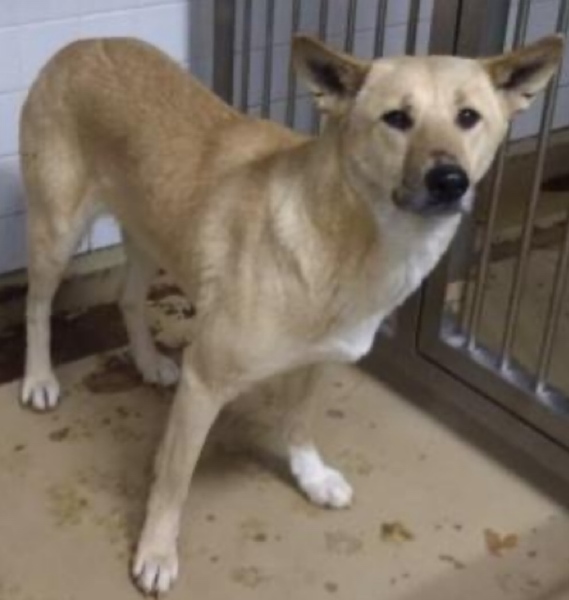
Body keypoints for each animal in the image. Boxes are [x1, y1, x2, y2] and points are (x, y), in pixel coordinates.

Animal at [19, 33, 563, 594]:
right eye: (396, 118)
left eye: (468, 117)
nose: (450, 180)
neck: (347, 235)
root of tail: (84, 43)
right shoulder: (204, 381)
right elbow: (174, 477)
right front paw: (156, 551)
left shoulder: (318, 362)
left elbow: (299, 424)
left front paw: (311, 476)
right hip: (56, 232)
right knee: (37, 307)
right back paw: (39, 380)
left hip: (151, 229)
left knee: (128, 297)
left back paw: (147, 361)